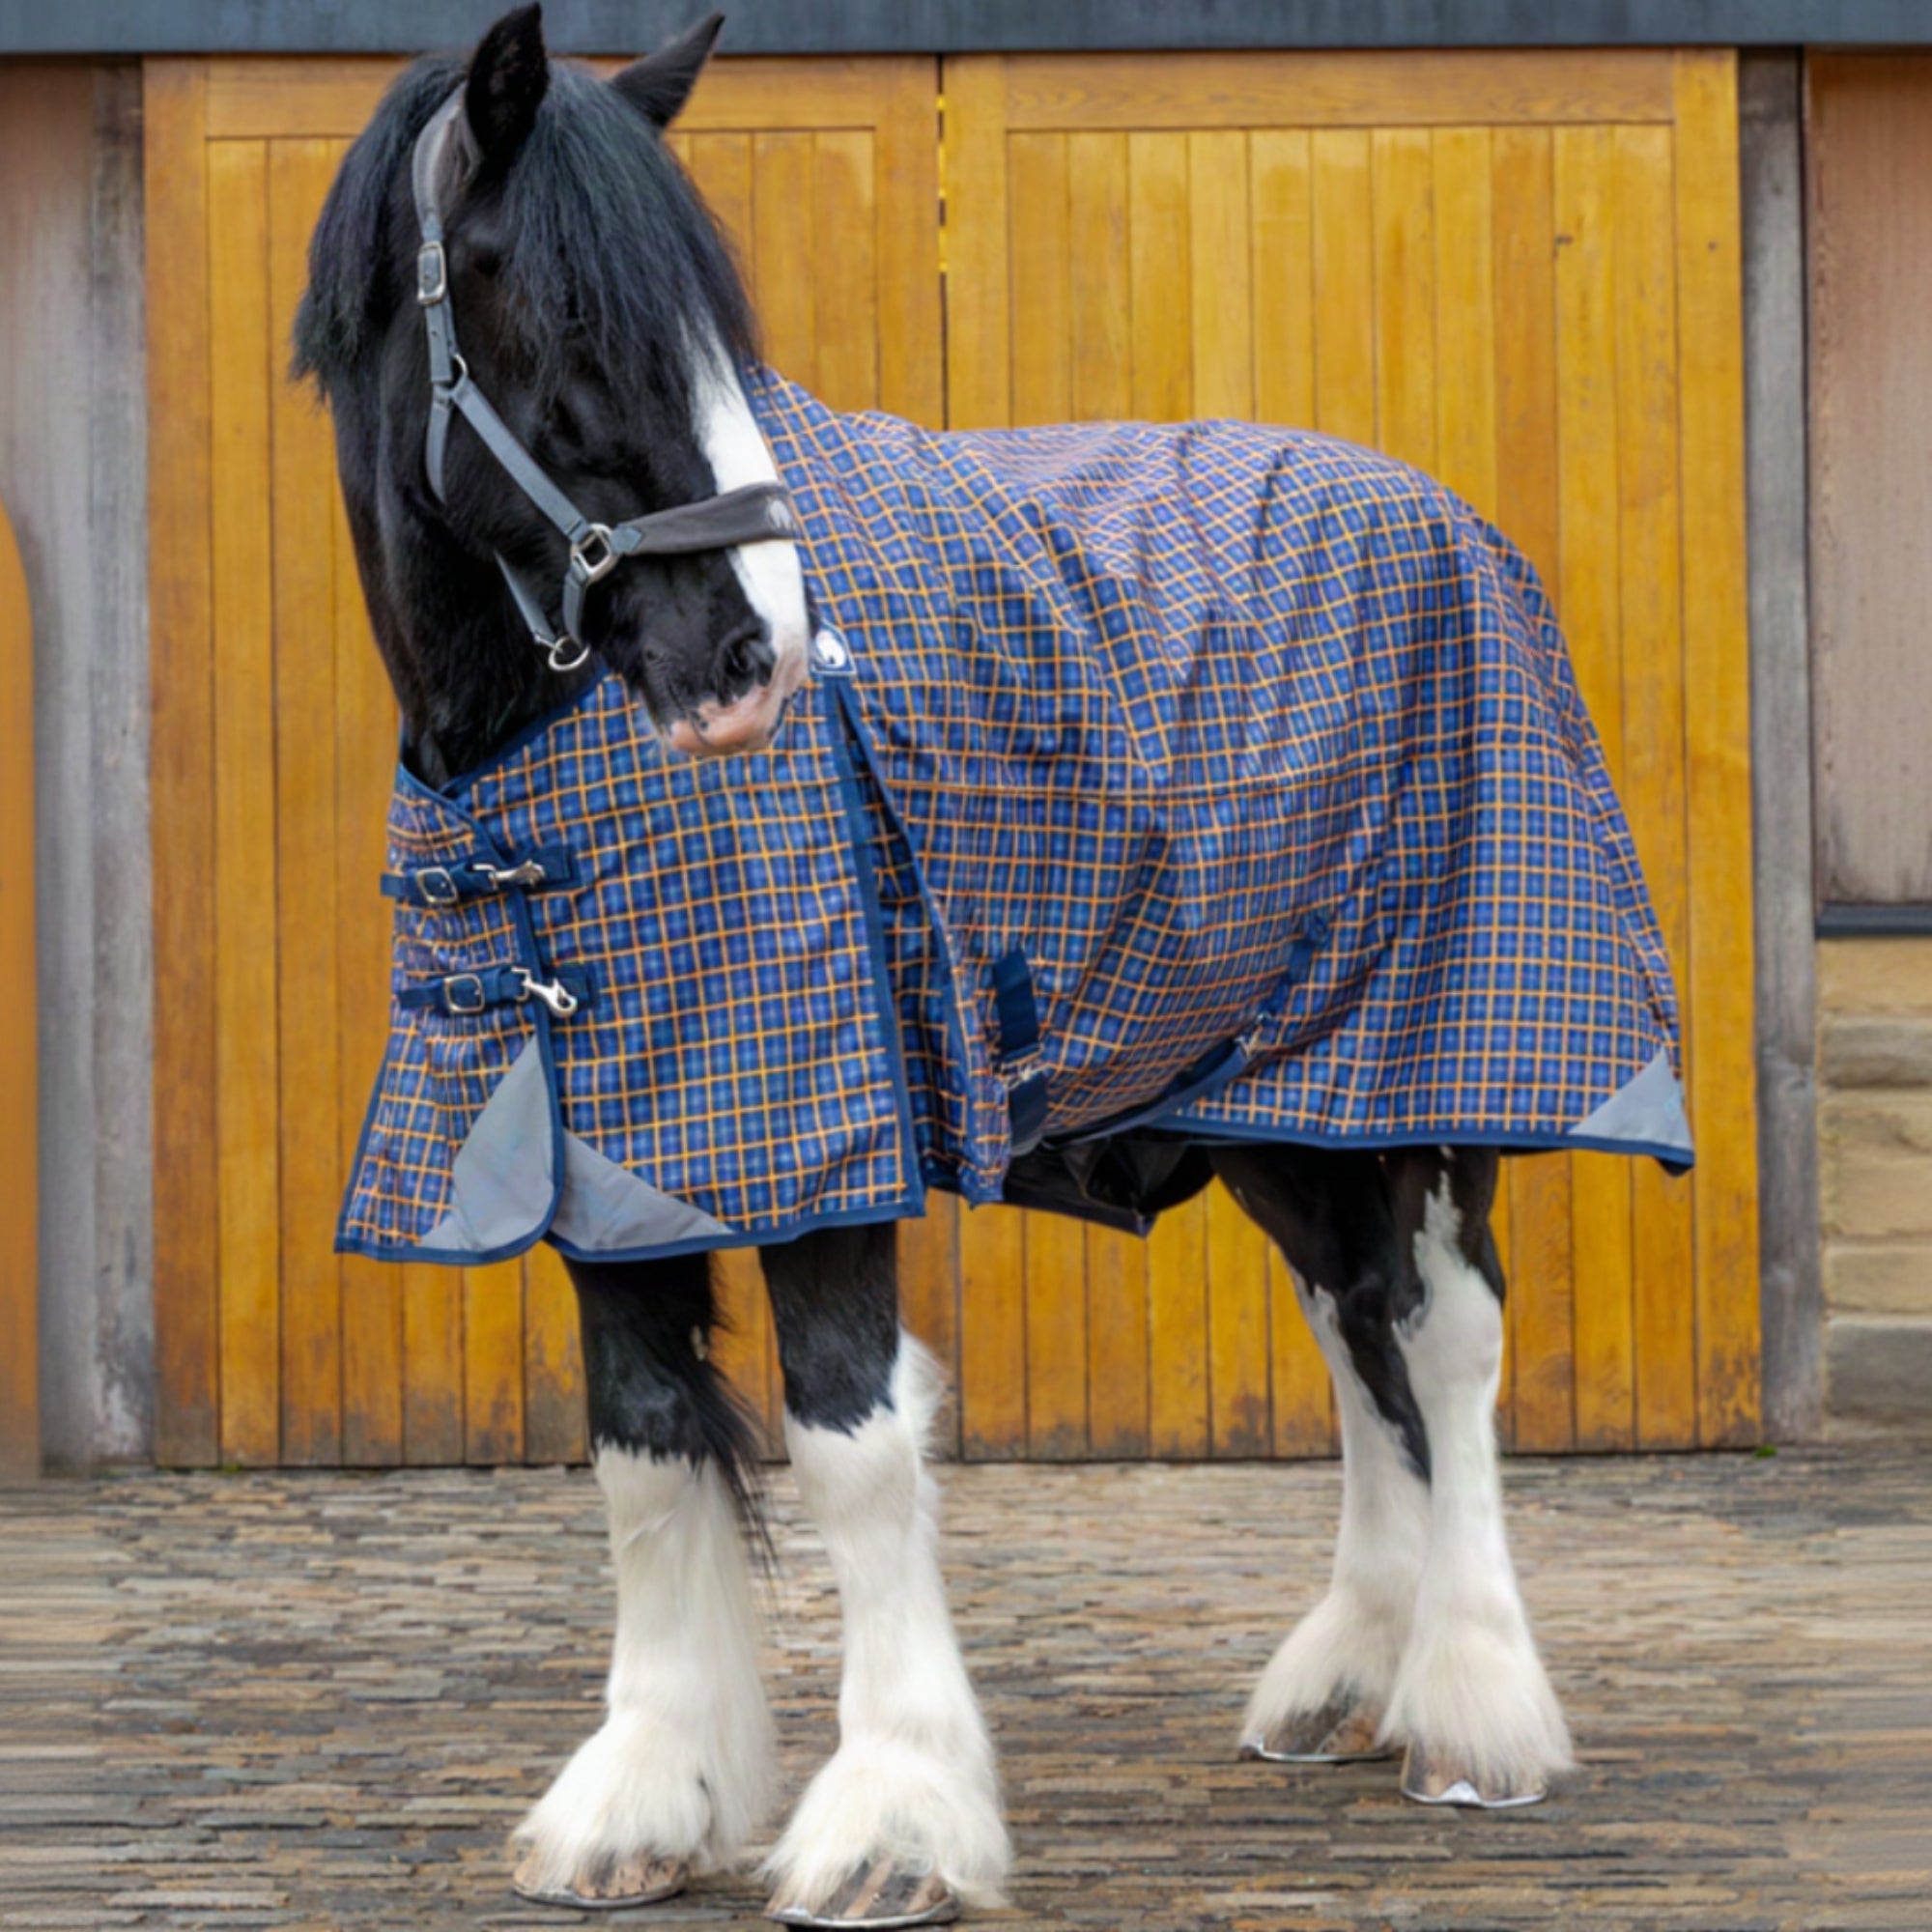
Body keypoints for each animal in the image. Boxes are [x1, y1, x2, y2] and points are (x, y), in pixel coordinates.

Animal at [296, 8, 1685, 1924]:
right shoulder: (610, 1164)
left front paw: (895, 1817)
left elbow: (853, 1446)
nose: (757, 661)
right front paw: (645, 1798)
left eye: (714, 339)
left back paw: (1475, 1712)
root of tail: (1444, 515)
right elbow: (645, 1452)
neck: (532, 782)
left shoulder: (824, 1131)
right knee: (1356, 1335)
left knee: (1448, 1335)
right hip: (1285, 1106)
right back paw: (1347, 1677)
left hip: (1437, 1058)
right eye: (571, 321)